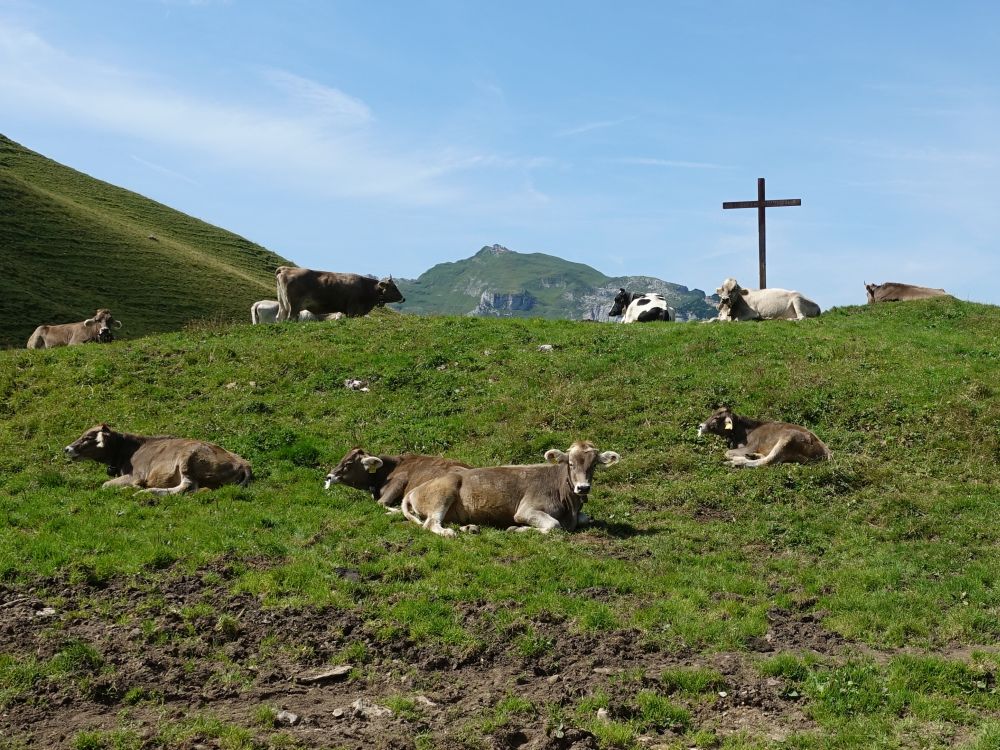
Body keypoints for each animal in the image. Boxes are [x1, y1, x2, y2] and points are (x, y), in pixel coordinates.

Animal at [64, 426, 252, 496]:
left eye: (87, 437)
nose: (67, 448)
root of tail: (244, 463)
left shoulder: (136, 475)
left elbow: (105, 485)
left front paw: (136, 487)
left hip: (188, 457)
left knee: (187, 486)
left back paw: (146, 492)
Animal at [276, 266, 404, 322]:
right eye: (394, 288)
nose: (403, 298)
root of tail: (286, 268)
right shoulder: (352, 309)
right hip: (293, 305)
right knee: (290, 318)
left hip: (283, 303)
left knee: (280, 317)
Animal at [398, 444, 616, 536]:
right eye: (571, 463)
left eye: (594, 465)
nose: (583, 487)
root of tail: (414, 490)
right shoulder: (525, 511)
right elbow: (554, 525)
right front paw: (516, 529)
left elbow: (586, 518)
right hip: (444, 493)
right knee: (431, 523)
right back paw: (449, 533)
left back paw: (470, 528)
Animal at [700, 406, 832, 470]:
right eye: (712, 413)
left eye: (716, 418)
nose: (701, 425)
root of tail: (827, 451)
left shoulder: (751, 446)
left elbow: (727, 452)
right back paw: (752, 456)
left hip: (787, 439)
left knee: (767, 461)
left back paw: (737, 461)